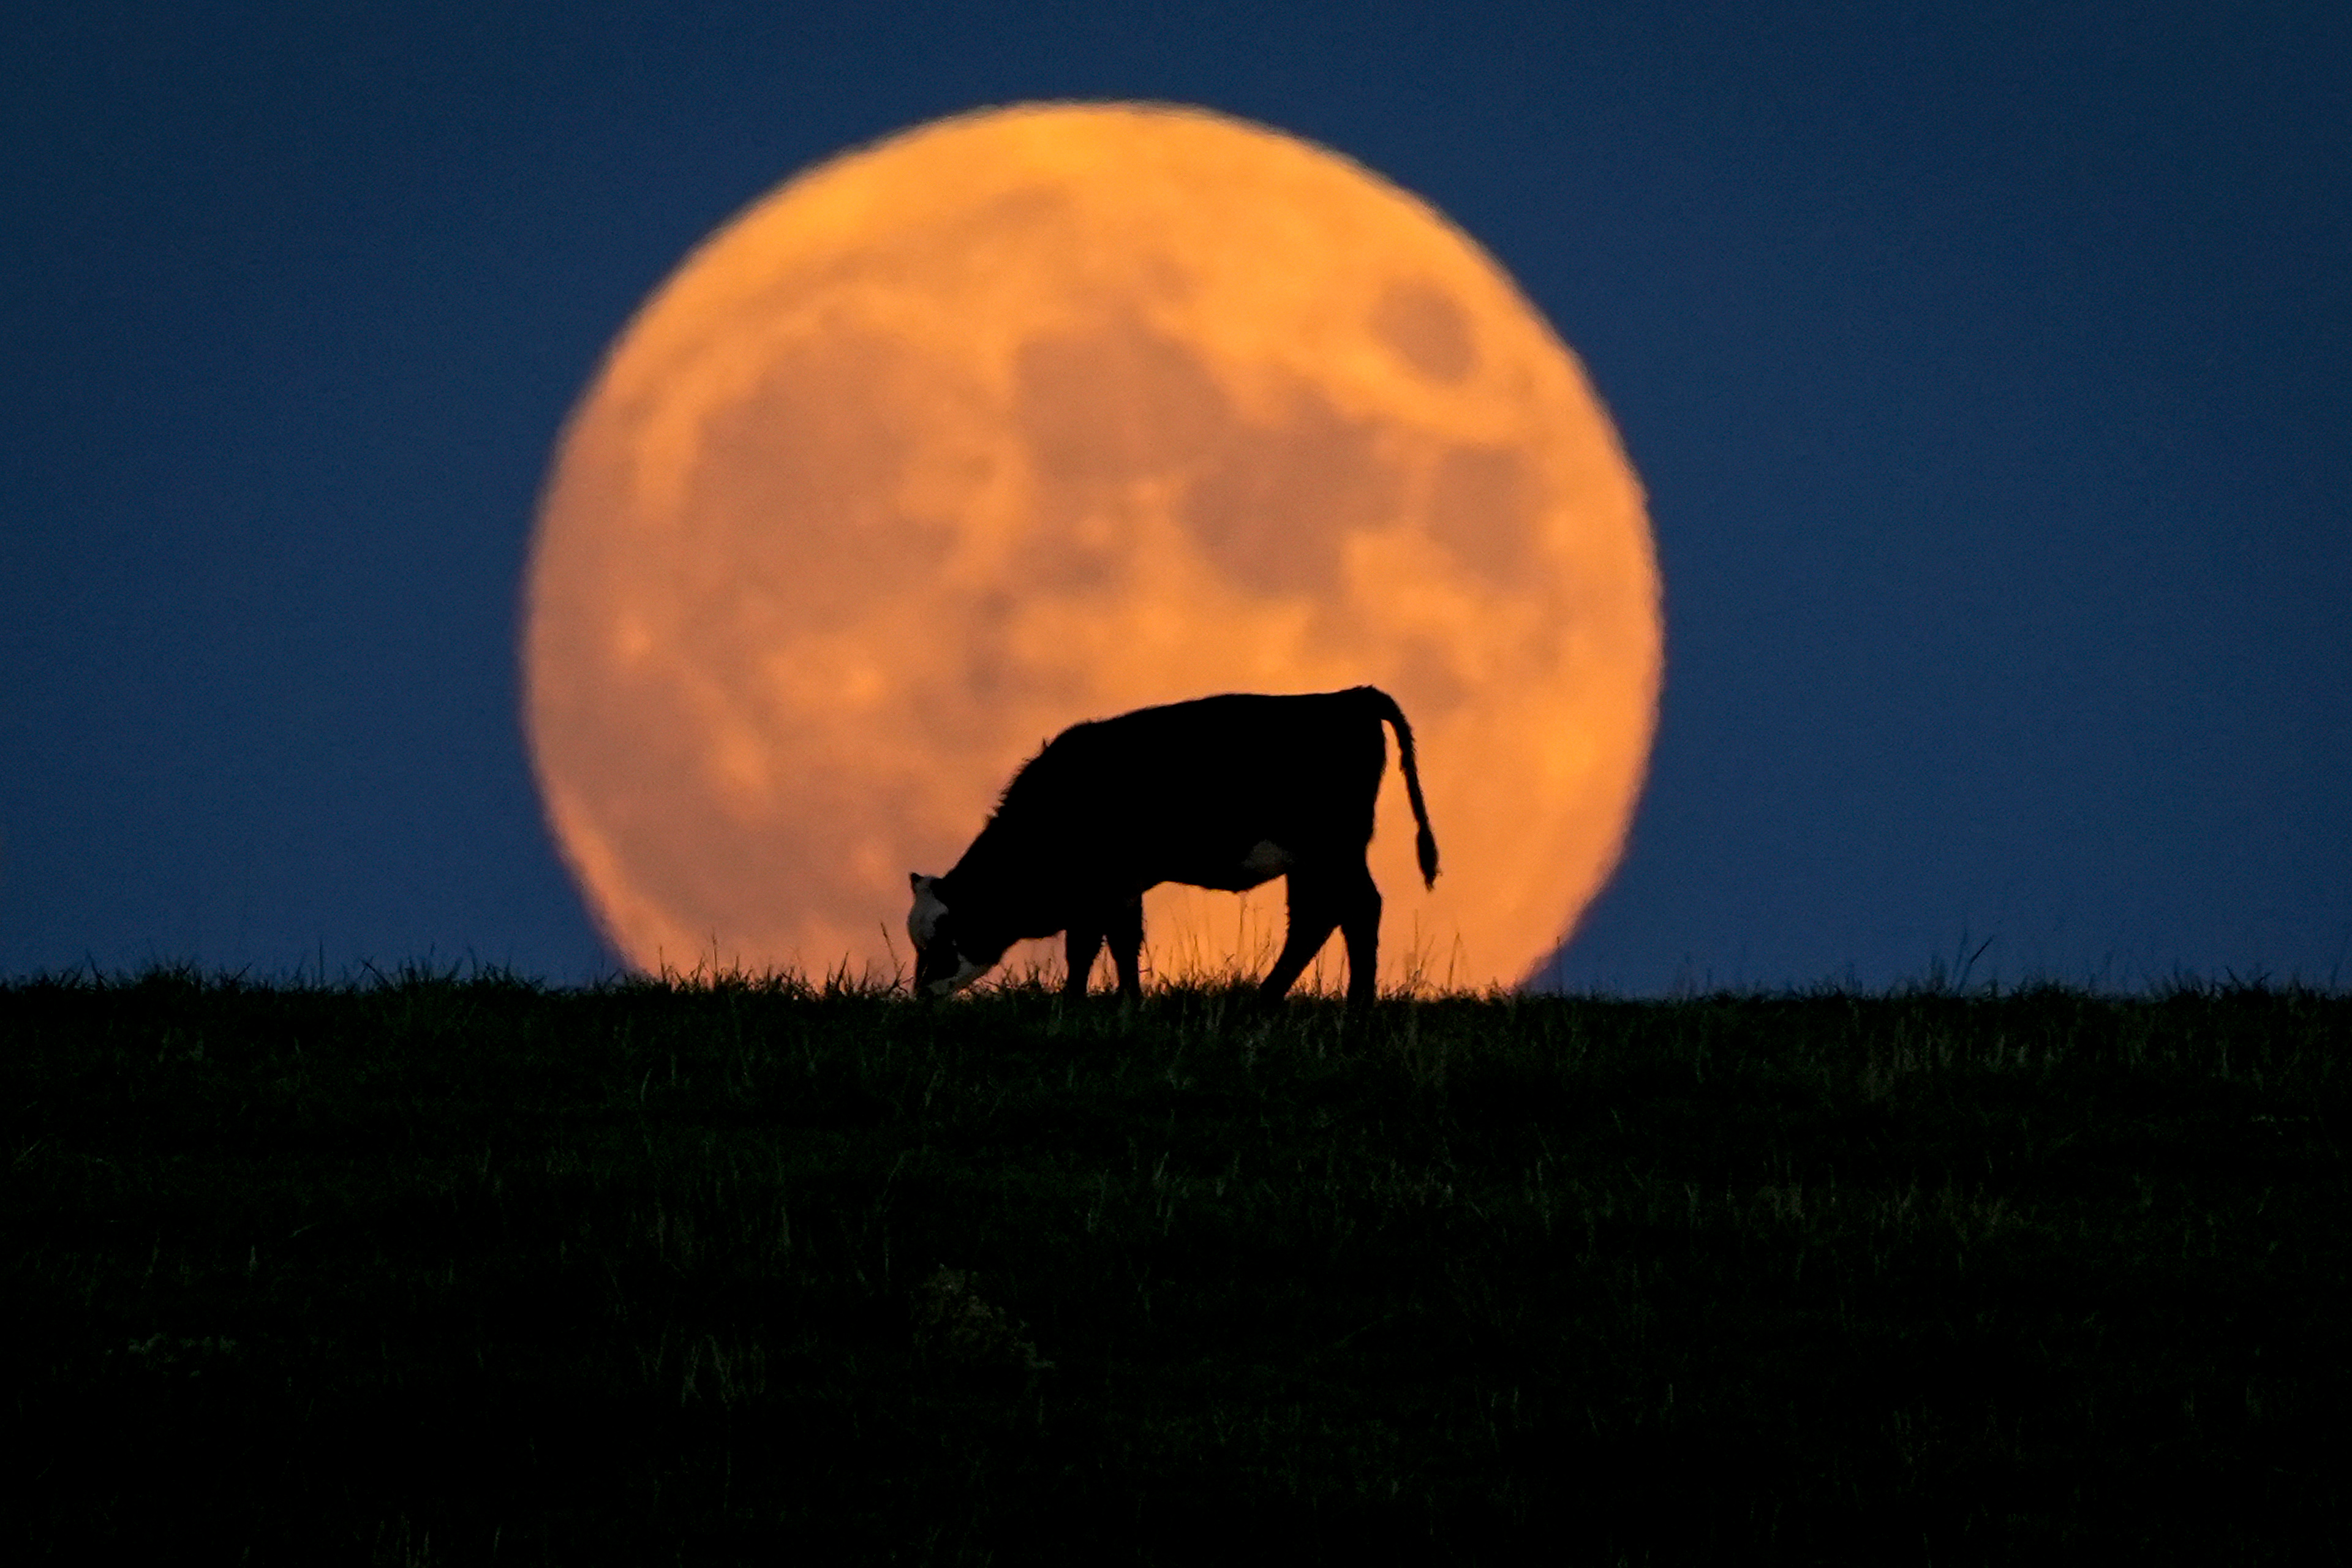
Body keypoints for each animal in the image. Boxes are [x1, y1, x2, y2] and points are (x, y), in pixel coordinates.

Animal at [906, 686, 1438, 1010]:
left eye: (947, 938)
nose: (922, 995)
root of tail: (1351, 697)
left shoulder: (1098, 886)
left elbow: (1086, 947)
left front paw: (1078, 1003)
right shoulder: (1119, 887)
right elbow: (1120, 943)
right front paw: (1127, 1002)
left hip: (1337, 849)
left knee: (1360, 909)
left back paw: (1357, 1005)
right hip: (1311, 860)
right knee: (1316, 918)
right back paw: (1264, 999)